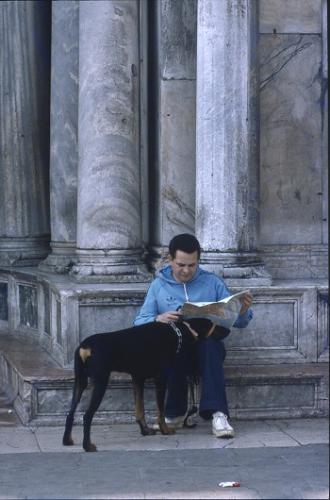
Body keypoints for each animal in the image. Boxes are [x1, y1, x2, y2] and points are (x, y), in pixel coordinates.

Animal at [62, 318, 217, 452]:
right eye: (211, 324)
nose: (223, 329)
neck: (176, 332)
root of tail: (85, 347)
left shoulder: (137, 378)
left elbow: (139, 409)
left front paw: (145, 430)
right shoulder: (160, 378)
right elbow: (160, 410)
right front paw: (165, 430)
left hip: (80, 382)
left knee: (70, 412)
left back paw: (67, 440)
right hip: (100, 381)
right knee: (87, 415)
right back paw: (87, 446)